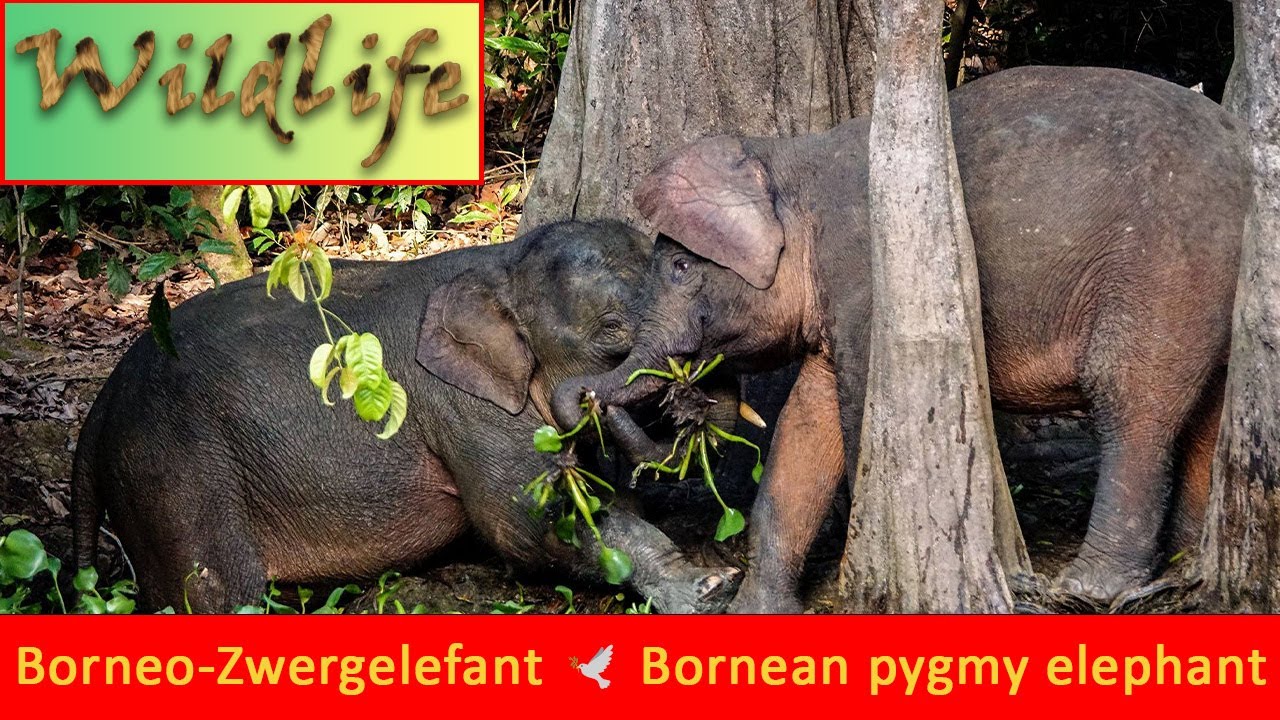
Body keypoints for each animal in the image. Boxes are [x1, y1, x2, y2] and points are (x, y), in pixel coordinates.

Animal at [71, 220, 745, 613]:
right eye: (611, 334)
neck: (498, 263)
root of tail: (99, 408)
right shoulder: (464, 405)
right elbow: (528, 522)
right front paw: (708, 590)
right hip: (174, 471)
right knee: (216, 596)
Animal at [552, 66, 1248, 611]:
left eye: (678, 266)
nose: (580, 406)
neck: (788, 156)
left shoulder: (870, 273)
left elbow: (857, 418)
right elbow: (807, 425)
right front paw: (759, 612)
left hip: (1167, 269)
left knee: (1131, 401)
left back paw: (1090, 590)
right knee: (1209, 413)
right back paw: (1185, 571)